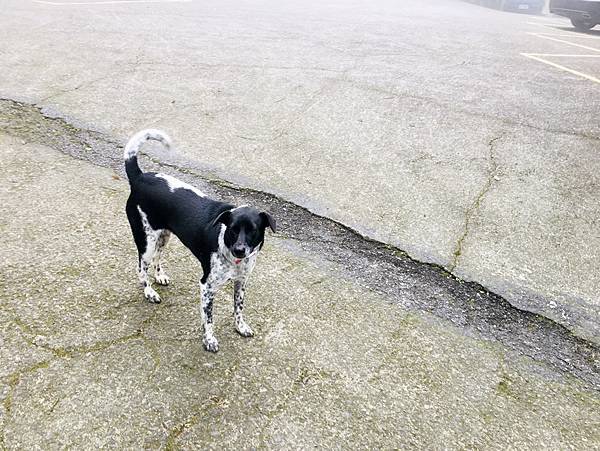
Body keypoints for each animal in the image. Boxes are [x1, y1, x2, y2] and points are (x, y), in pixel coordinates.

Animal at [125, 130, 278, 354]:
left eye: (253, 230)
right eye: (233, 230)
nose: (240, 250)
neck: (234, 260)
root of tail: (140, 177)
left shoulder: (241, 282)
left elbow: (238, 307)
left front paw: (240, 327)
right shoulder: (206, 286)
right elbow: (209, 319)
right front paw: (209, 340)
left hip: (163, 236)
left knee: (157, 258)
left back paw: (159, 276)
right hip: (146, 240)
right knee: (140, 268)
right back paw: (149, 292)